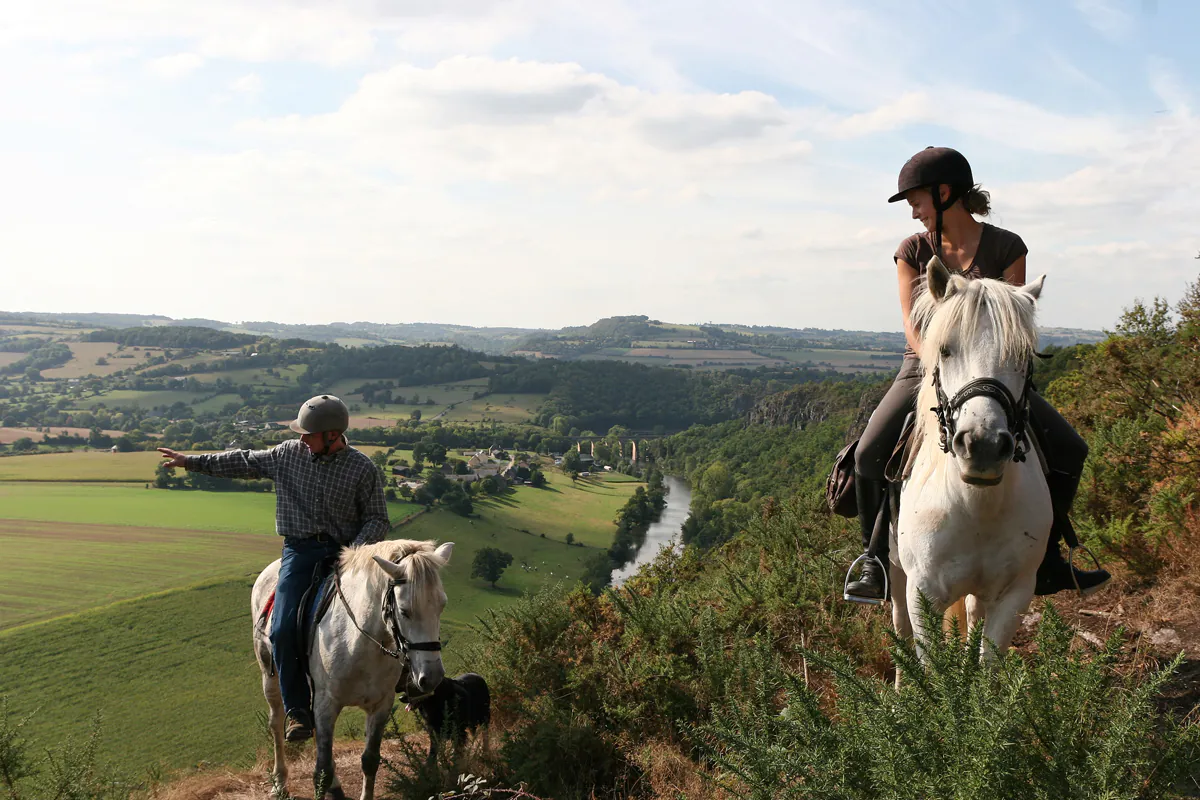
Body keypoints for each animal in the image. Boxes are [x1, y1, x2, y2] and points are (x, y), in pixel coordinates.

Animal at [253, 537, 453, 800]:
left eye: (442, 605)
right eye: (404, 610)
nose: (432, 677)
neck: (358, 641)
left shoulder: (381, 705)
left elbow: (369, 760)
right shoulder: (327, 704)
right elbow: (321, 771)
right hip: (270, 679)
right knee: (276, 724)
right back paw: (279, 782)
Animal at [892, 260, 1051, 662]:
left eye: (1024, 356)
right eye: (946, 350)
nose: (983, 447)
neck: (977, 505)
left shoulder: (1014, 596)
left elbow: (986, 668)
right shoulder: (922, 596)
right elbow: (931, 670)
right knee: (899, 628)